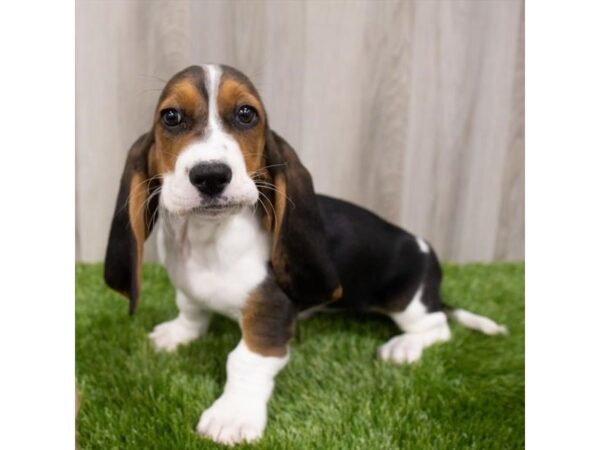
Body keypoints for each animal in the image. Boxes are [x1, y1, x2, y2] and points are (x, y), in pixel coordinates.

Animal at [104, 64, 506, 446]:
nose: (211, 175)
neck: (209, 237)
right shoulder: (188, 290)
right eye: (171, 117)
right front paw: (179, 334)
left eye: (246, 114)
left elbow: (245, 362)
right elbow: (191, 309)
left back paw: (404, 347)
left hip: (407, 300)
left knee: (436, 327)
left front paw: (232, 416)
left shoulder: (270, 313)